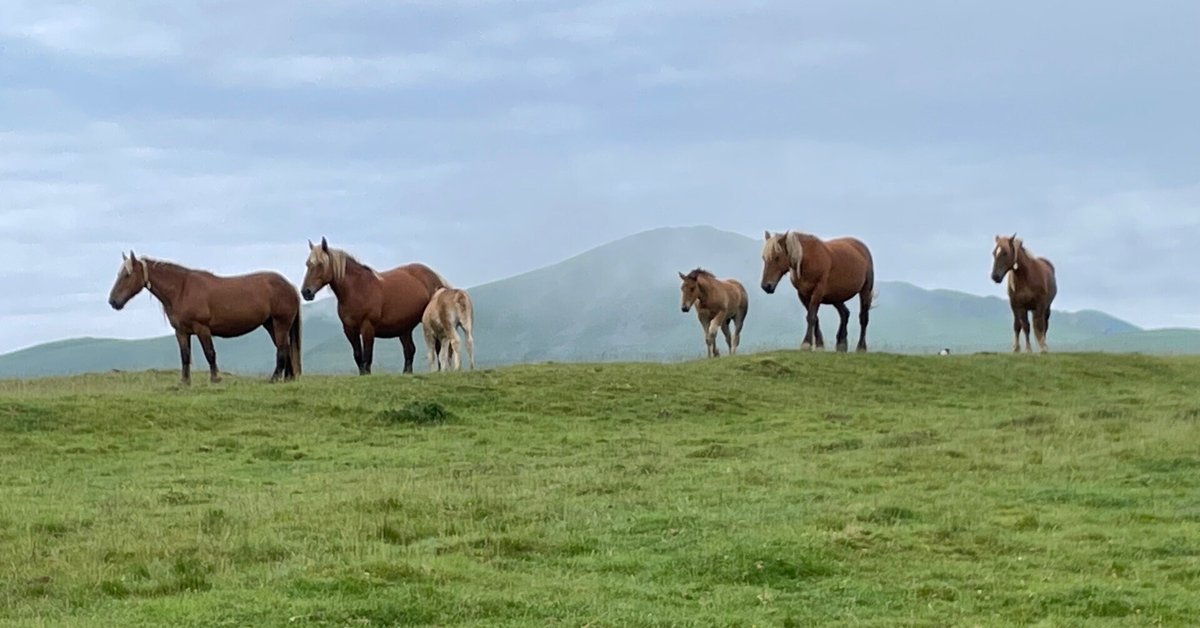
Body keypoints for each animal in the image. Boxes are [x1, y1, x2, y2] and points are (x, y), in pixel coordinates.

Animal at [106, 250, 302, 384]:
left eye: (127, 275)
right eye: (119, 274)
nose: (113, 301)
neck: (182, 289)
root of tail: (290, 286)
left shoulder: (202, 329)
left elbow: (210, 353)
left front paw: (215, 379)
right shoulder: (182, 332)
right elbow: (185, 356)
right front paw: (185, 382)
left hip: (280, 323)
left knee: (282, 349)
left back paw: (274, 378)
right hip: (270, 324)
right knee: (285, 348)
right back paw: (288, 378)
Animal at [300, 235, 451, 374]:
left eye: (320, 264)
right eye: (307, 264)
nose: (306, 292)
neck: (357, 289)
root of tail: (436, 277)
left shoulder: (368, 328)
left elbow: (367, 356)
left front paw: (367, 374)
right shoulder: (349, 330)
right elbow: (358, 355)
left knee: (437, 347)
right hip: (405, 328)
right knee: (409, 350)